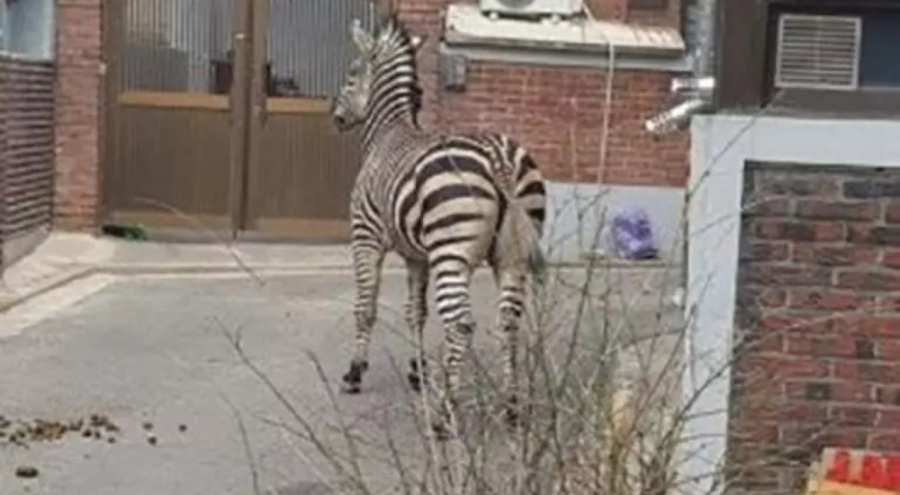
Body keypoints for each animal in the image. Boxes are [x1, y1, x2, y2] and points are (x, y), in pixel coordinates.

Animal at [329, 14, 547, 435]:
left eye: (350, 76)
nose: (336, 118)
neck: (388, 132)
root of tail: (498, 157)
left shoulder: (365, 238)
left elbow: (366, 305)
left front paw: (355, 372)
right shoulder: (417, 255)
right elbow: (416, 312)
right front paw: (418, 372)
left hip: (452, 254)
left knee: (461, 323)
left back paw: (445, 415)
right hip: (512, 257)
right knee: (508, 321)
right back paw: (511, 407)